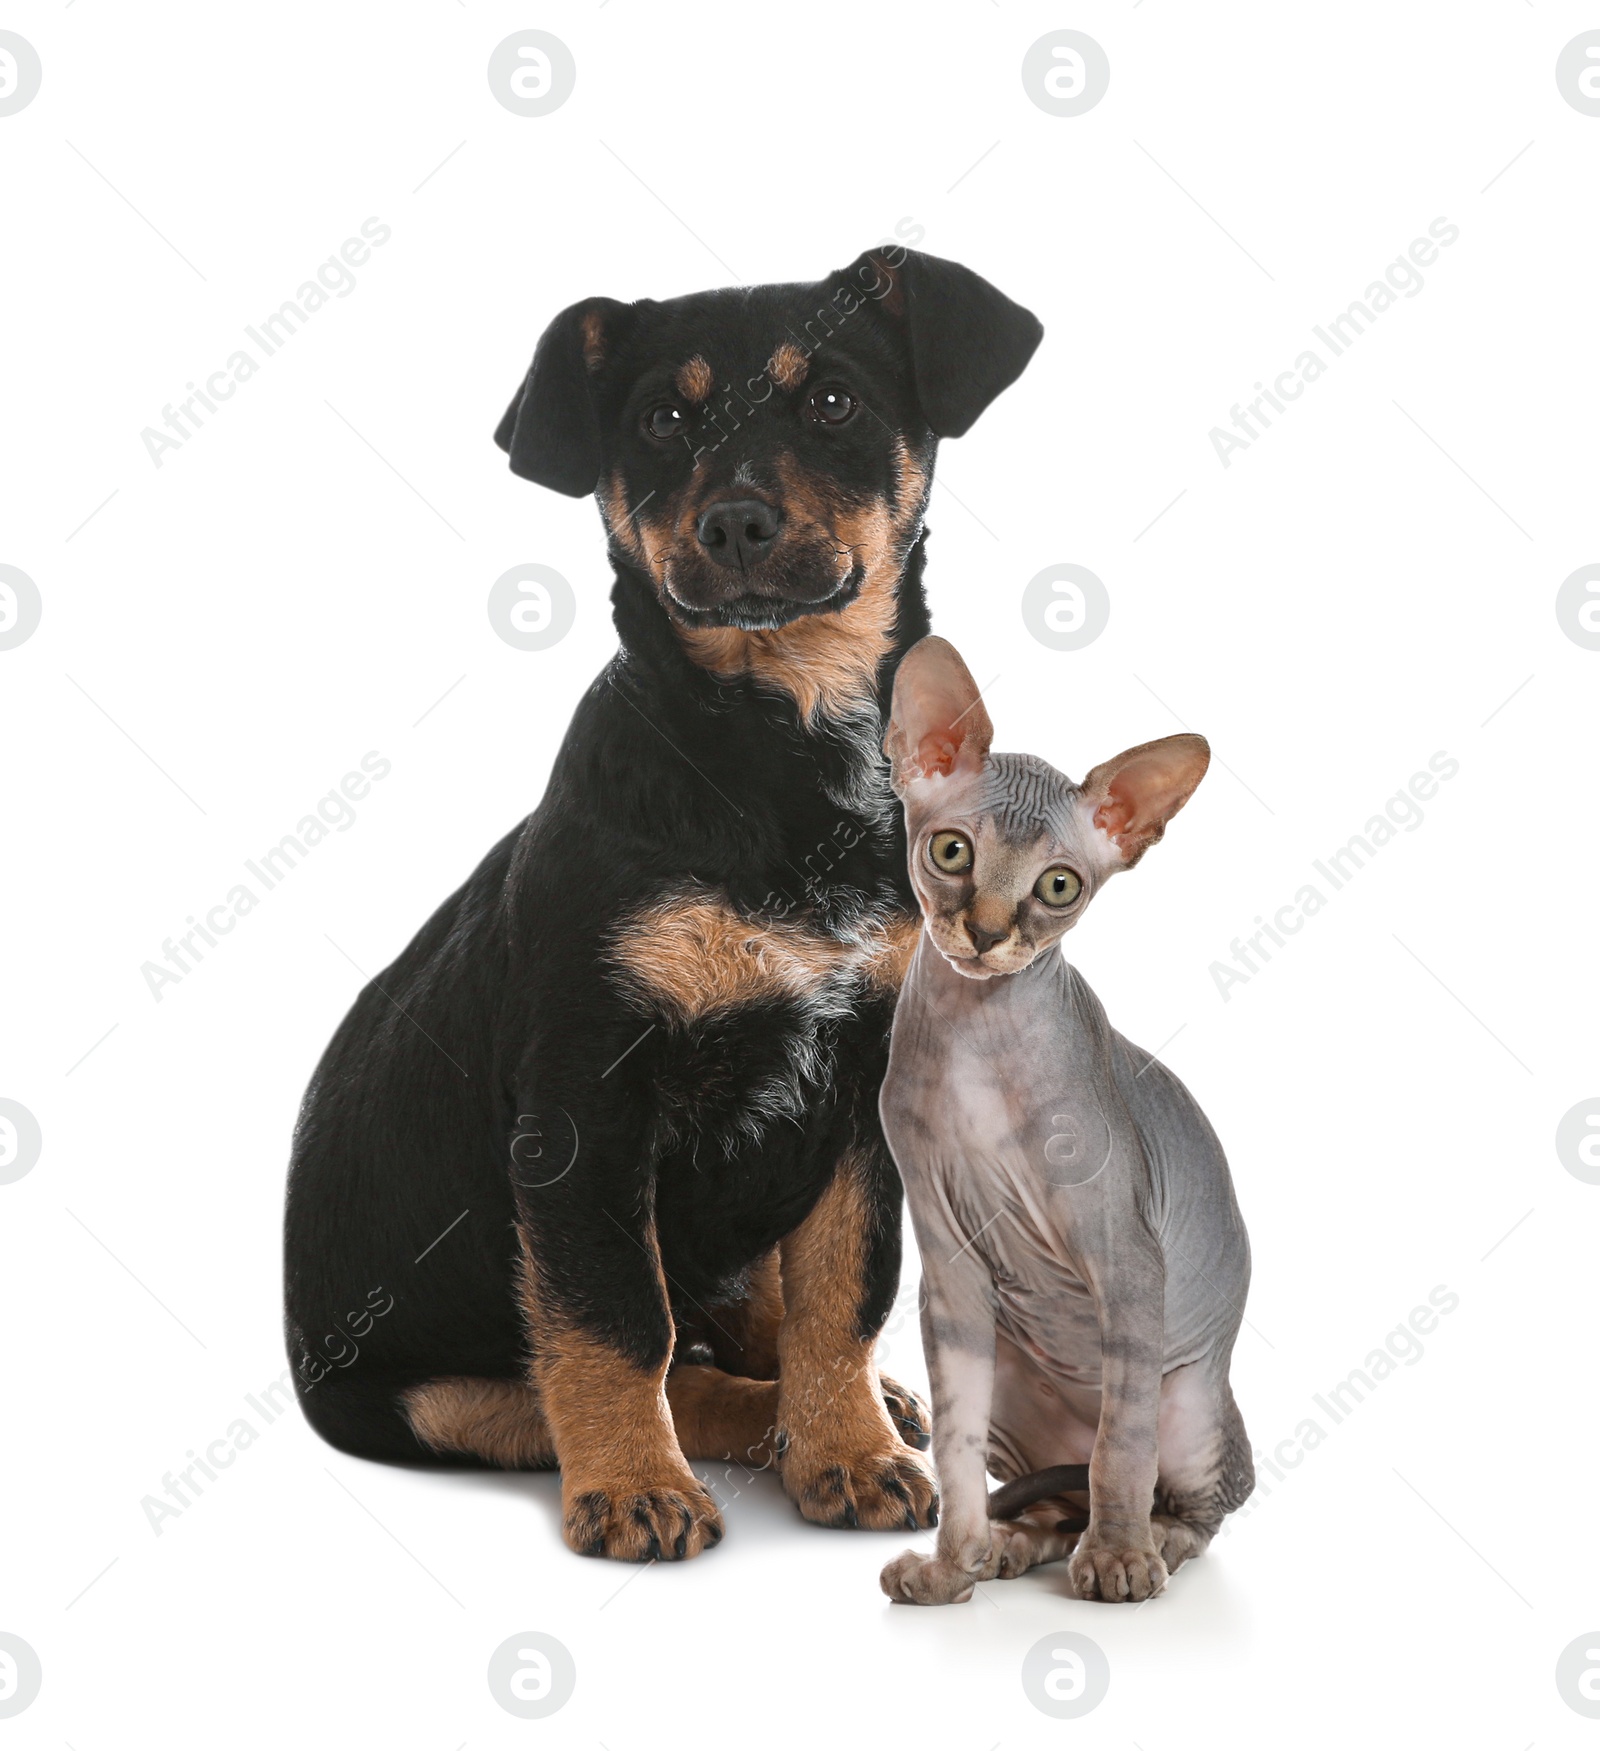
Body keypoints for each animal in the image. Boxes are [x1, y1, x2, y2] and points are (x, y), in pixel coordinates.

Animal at [280, 243, 1043, 1561]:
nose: (733, 522)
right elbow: (611, 1320)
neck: (778, 747)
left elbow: (842, 1291)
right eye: (661, 421)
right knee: (624, 1366)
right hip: (422, 1391)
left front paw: (848, 1450)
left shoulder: (862, 1091)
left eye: (831, 399)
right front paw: (635, 1486)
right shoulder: (584, 1104)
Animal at [868, 633, 1253, 1603]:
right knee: (1053, 1496)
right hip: (1009, 1364)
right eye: (952, 851)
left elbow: (1121, 1446)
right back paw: (1011, 1546)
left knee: (1189, 1495)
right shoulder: (950, 1267)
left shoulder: (1128, 1256)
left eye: (1058, 885)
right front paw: (951, 1564)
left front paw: (1118, 1560)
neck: (976, 1039)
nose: (986, 932)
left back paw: (1146, 1542)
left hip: (1190, 1395)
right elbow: (955, 1447)